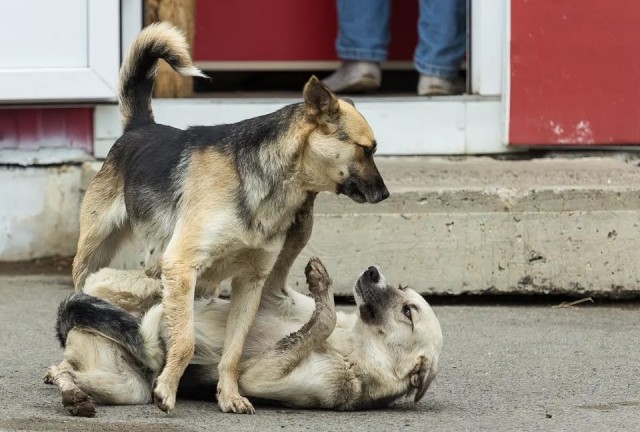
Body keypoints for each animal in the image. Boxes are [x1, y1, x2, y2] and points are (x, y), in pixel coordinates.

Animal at [47, 258, 442, 416]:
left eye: (409, 311)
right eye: (402, 287)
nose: (373, 271)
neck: (353, 344)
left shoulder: (259, 377)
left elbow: (322, 322)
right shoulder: (273, 295)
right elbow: (309, 307)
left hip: (125, 387)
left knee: (75, 372)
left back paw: (72, 394)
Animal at [72, 23, 388, 416]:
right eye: (367, 149)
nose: (386, 194)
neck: (267, 179)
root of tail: (140, 127)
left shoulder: (250, 282)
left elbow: (234, 349)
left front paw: (228, 395)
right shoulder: (182, 266)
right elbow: (185, 341)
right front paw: (166, 390)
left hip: (162, 267)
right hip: (94, 252)